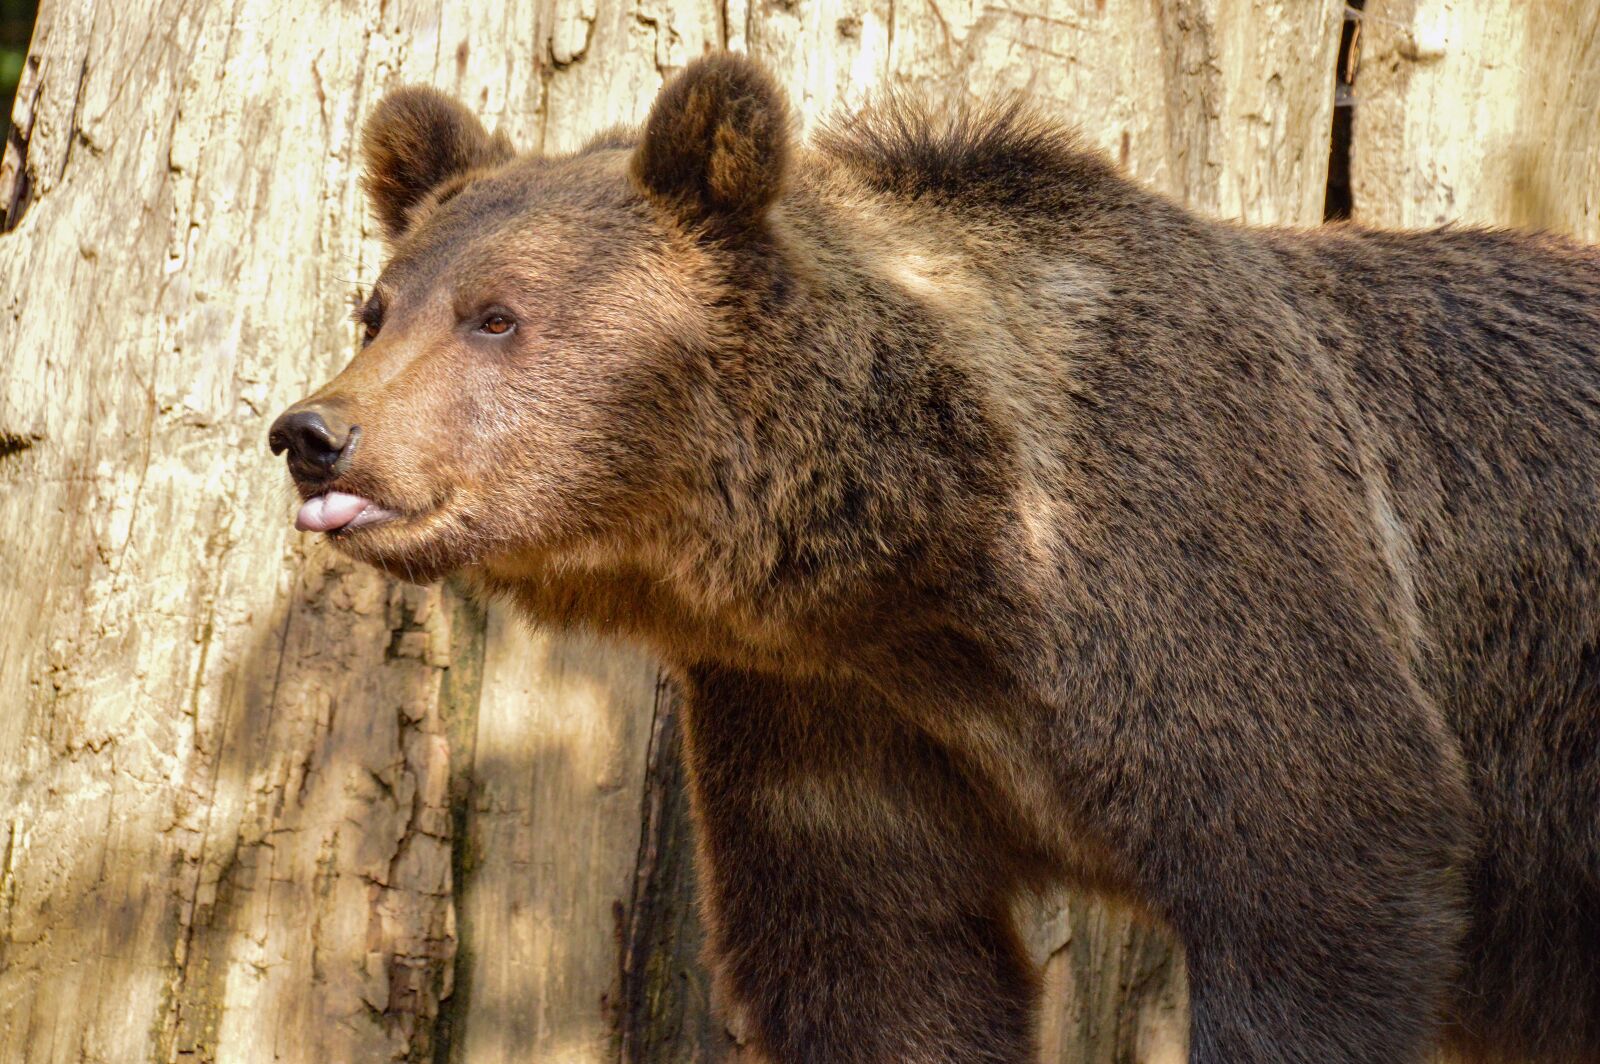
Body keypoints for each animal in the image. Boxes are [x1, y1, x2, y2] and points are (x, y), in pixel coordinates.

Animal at [269, 54, 1600, 1064]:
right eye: (378, 307)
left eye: (496, 314)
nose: (314, 432)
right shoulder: (835, 720)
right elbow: (878, 959)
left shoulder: (1223, 588)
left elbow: (1315, 871)